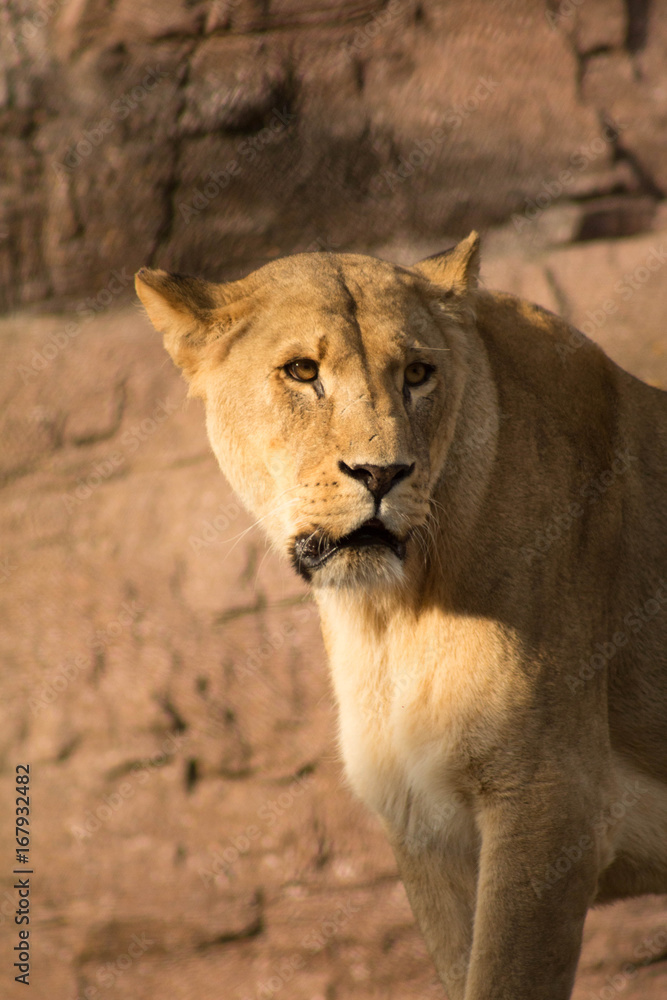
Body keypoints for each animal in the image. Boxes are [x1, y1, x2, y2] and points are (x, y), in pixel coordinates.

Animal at [135, 233, 667, 999]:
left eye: (418, 373)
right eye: (302, 372)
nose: (382, 474)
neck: (390, 617)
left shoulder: (550, 808)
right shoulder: (426, 830)